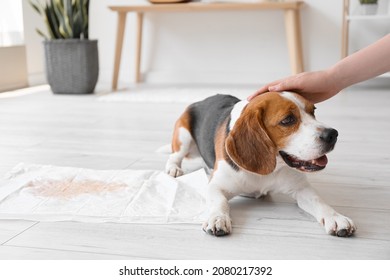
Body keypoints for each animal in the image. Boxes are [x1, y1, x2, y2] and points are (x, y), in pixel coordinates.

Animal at [165, 92, 356, 236]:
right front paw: (218, 218)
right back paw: (174, 169)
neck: (272, 167)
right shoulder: (215, 186)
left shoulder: (301, 189)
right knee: (174, 156)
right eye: (288, 120)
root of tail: (201, 100)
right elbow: (220, 201)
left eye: (313, 111)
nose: (332, 134)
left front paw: (335, 217)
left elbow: (319, 201)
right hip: (183, 136)